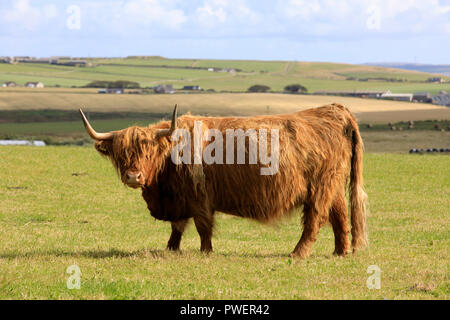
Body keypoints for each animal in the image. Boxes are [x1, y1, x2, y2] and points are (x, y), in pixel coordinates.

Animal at [81, 104, 368, 258]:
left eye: (148, 151)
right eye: (121, 154)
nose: (133, 176)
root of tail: (334, 110)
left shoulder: (199, 196)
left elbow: (202, 226)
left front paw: (206, 251)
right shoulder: (179, 200)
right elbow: (177, 227)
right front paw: (171, 248)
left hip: (320, 187)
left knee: (315, 219)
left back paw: (297, 253)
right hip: (333, 186)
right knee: (340, 215)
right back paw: (340, 251)